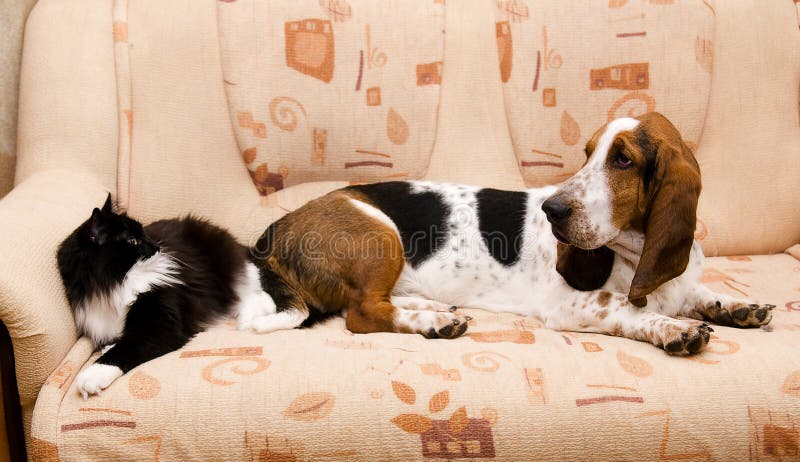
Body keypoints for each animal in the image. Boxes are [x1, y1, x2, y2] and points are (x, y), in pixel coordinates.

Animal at [56, 194, 276, 398]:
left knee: (260, 297)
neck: (113, 286)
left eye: (143, 233)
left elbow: (124, 349)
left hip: (234, 272)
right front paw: (108, 345)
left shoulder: (160, 325)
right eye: (133, 241)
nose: (156, 246)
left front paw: (91, 376)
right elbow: (117, 342)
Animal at [241, 113, 772, 358]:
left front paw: (735, 306)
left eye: (623, 159)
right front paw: (673, 328)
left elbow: (695, 292)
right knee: (362, 313)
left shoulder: (677, 282)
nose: (552, 210)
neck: (634, 253)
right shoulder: (571, 305)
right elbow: (627, 309)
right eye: (588, 153)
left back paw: (429, 306)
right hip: (382, 234)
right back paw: (432, 322)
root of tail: (275, 230)